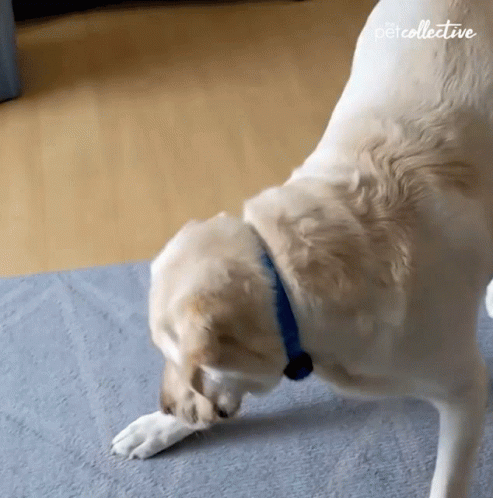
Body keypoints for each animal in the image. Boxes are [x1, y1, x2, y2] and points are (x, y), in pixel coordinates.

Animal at [111, 1, 493, 496]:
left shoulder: (465, 389)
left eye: (182, 362)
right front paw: (157, 427)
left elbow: (447, 482)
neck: (288, 278)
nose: (168, 408)